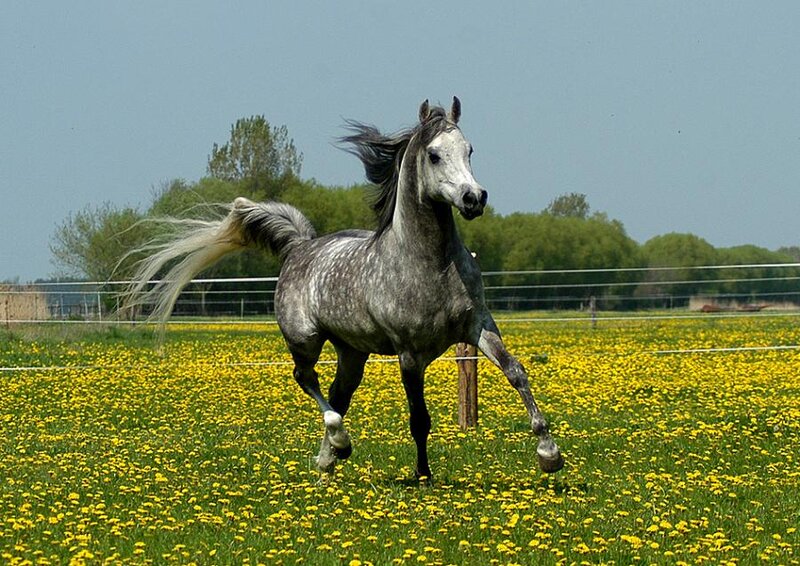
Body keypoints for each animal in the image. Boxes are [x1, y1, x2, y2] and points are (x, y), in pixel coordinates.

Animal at [124, 97, 564, 479]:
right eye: (435, 155)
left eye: (470, 149)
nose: (474, 198)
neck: (430, 263)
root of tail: (298, 247)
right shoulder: (409, 352)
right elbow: (419, 418)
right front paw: (423, 475)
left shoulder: (478, 326)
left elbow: (516, 372)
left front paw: (549, 453)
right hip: (304, 339)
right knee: (309, 382)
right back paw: (339, 442)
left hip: (352, 352)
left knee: (338, 393)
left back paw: (327, 460)